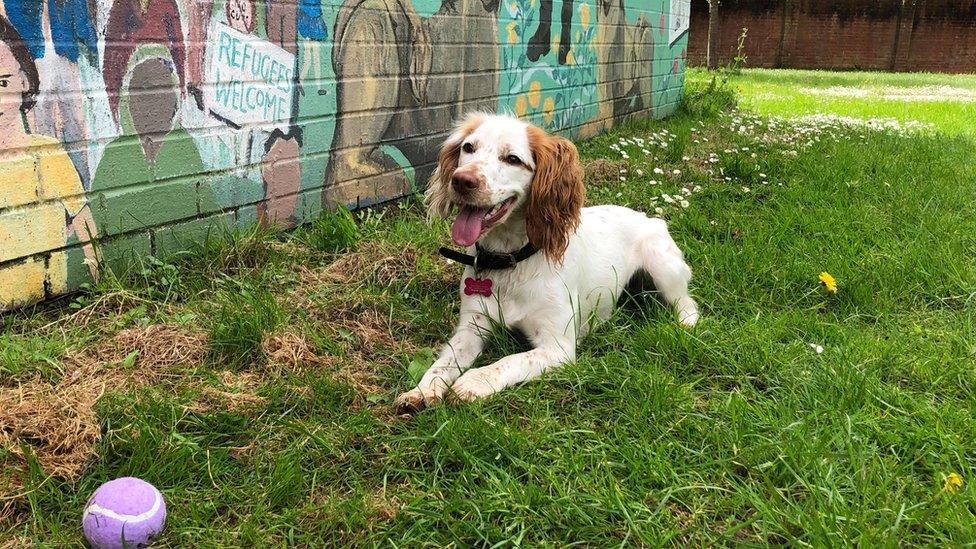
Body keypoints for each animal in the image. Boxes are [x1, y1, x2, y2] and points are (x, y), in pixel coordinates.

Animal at [392, 112, 696, 412]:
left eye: (512, 159)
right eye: (468, 147)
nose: (461, 180)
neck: (510, 261)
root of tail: (650, 217)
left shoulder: (557, 347)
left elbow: (509, 360)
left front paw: (473, 382)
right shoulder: (471, 328)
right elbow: (443, 363)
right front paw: (421, 390)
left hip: (662, 266)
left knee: (687, 303)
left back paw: (685, 326)